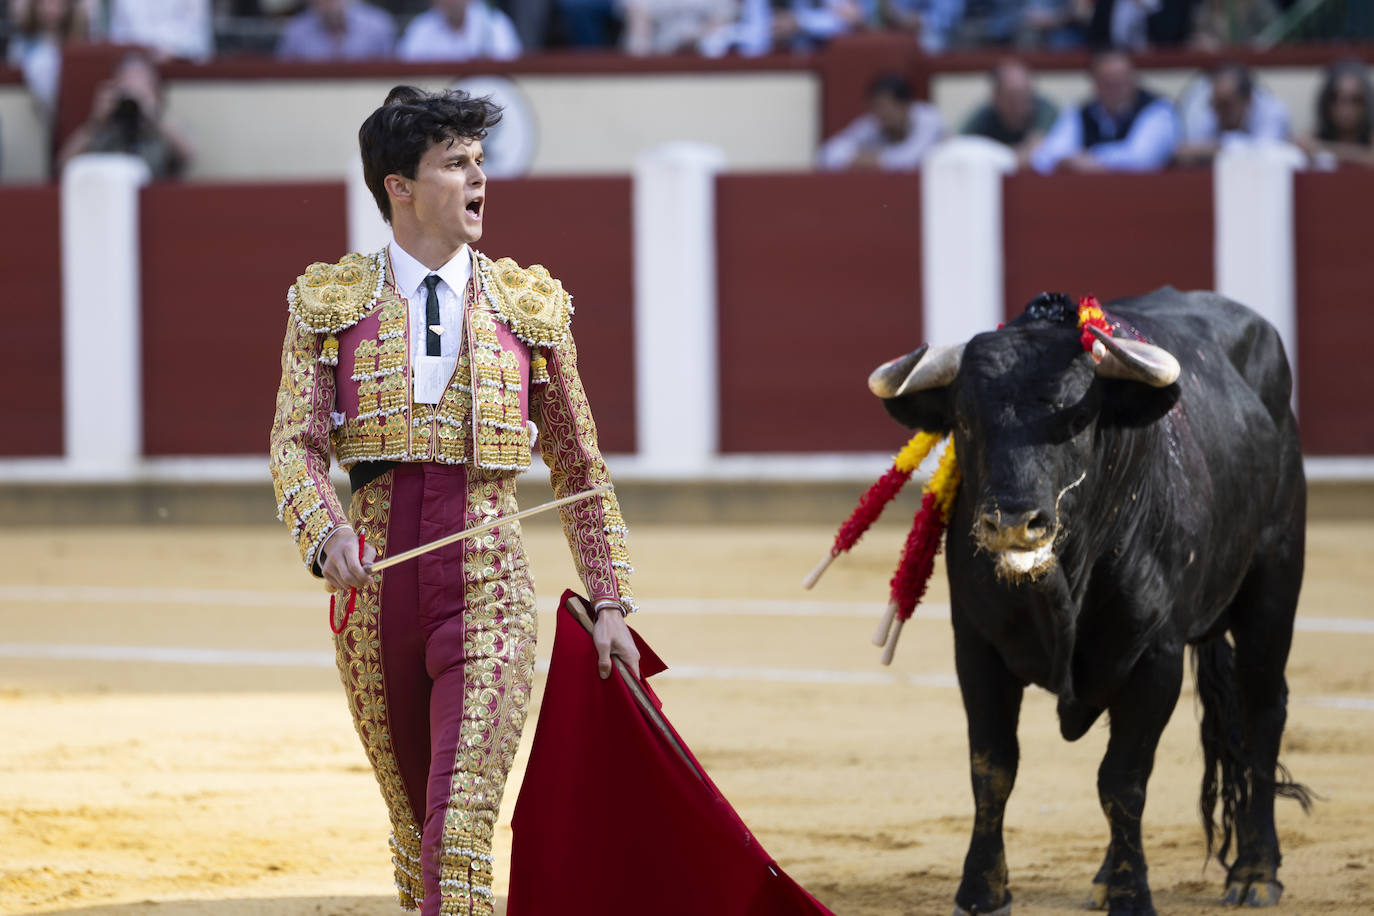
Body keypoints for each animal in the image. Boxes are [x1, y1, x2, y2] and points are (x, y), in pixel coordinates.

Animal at [873, 292, 1313, 916]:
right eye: (964, 421)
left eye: (1078, 420)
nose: (1013, 521)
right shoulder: (977, 648)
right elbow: (993, 769)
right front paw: (981, 892)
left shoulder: (1154, 657)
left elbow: (1123, 780)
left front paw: (1134, 895)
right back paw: (1109, 876)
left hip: (1274, 585)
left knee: (1262, 714)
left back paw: (1255, 872)